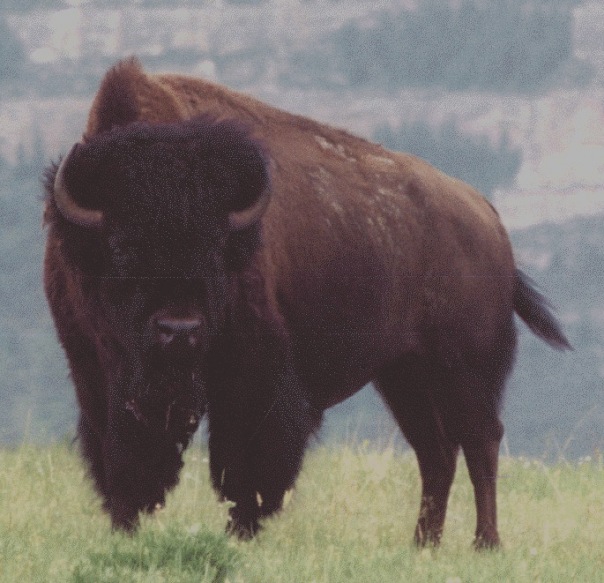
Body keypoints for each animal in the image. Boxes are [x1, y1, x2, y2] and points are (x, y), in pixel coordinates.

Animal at [43, 58, 569, 548]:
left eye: (216, 252)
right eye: (120, 251)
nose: (179, 329)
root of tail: (487, 218)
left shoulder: (254, 380)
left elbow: (245, 468)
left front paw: (242, 533)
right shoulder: (99, 375)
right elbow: (123, 460)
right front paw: (125, 528)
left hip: (464, 369)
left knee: (481, 441)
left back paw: (484, 543)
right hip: (404, 376)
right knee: (436, 453)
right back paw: (423, 544)